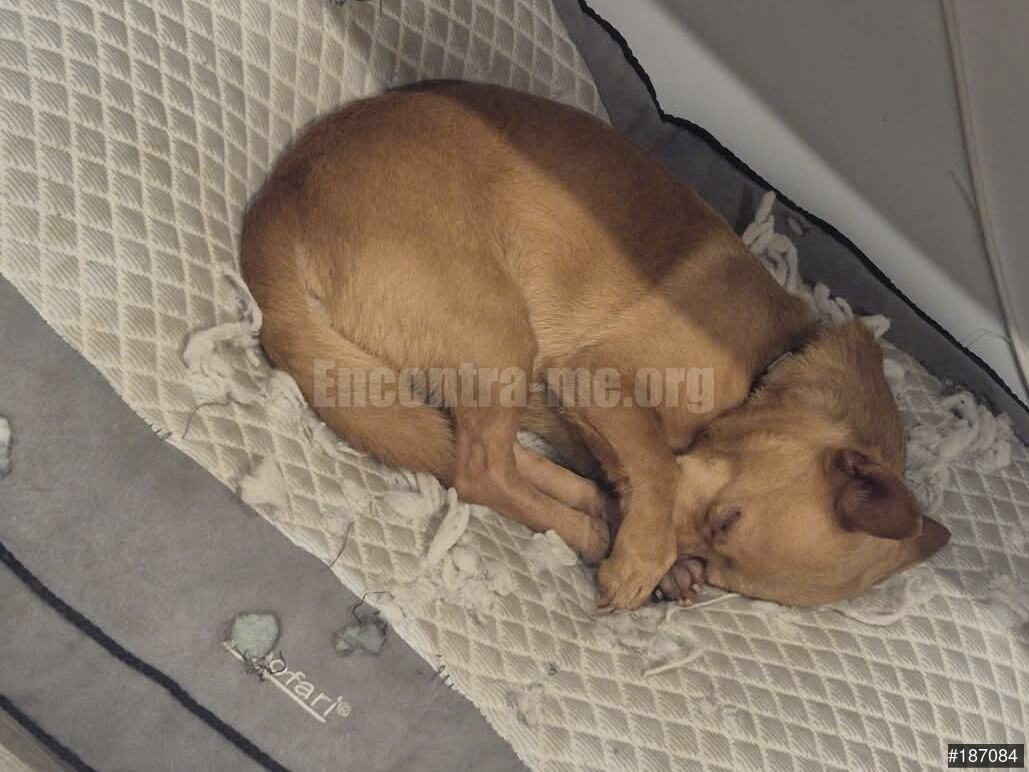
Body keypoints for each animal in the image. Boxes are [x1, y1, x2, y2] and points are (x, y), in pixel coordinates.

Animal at [241, 82, 949, 610]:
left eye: (716, 558)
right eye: (727, 522)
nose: (674, 568)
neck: (767, 362)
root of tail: (279, 202)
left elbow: (636, 466)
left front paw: (647, 544)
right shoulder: (597, 374)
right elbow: (658, 464)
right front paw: (641, 555)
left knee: (472, 450)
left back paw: (588, 508)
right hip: (499, 332)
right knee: (479, 469)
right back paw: (588, 527)